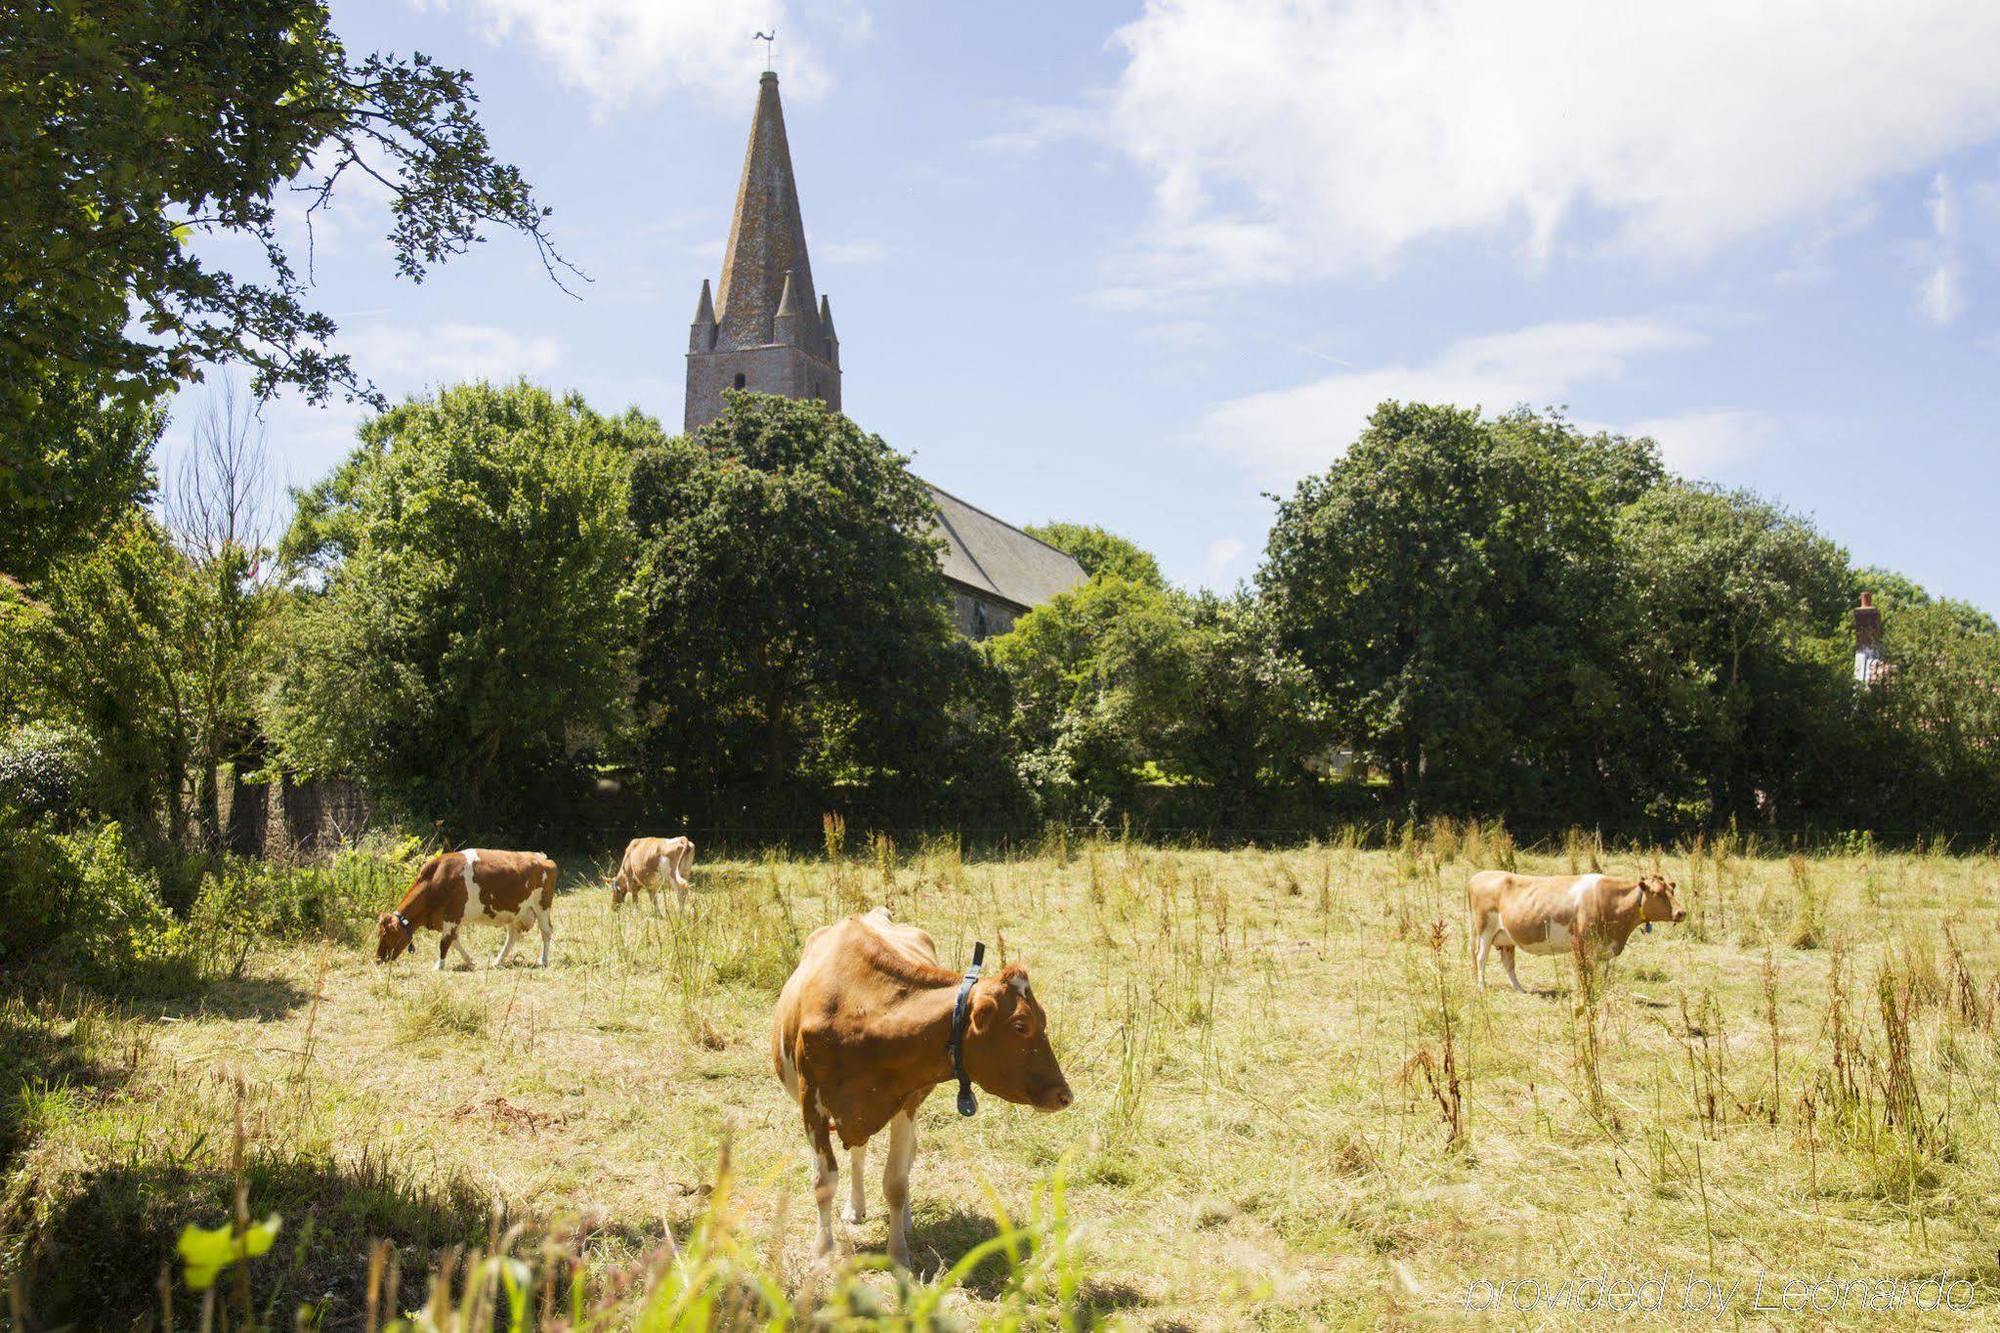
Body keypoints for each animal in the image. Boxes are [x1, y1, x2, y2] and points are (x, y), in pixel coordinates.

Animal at [376, 844, 560, 972]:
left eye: (385, 934)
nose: (378, 959)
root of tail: (541, 856)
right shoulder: (449, 920)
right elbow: (454, 941)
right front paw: (470, 962)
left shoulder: (451, 916)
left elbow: (444, 943)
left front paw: (439, 966)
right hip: (515, 912)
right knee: (513, 935)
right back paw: (497, 961)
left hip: (542, 906)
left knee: (546, 931)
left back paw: (544, 960)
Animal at [768, 904, 1080, 1264]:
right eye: (1020, 1025)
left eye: (1042, 1020)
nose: (1064, 1095)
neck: (861, 1015)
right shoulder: (812, 1103)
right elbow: (824, 1180)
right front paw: (822, 1250)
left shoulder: (905, 1101)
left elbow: (896, 1181)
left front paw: (898, 1253)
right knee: (859, 1151)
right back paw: (856, 1207)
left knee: (904, 1157)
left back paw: (902, 1220)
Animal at [1472, 868, 1688, 992]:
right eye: (1657, 893)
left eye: (1672, 890)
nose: (1681, 912)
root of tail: (1479, 875)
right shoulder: (1581, 943)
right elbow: (1585, 971)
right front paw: (1587, 994)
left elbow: (1593, 972)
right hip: (1484, 930)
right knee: (1481, 957)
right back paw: (1481, 987)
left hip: (1506, 937)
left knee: (1508, 962)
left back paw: (1519, 989)